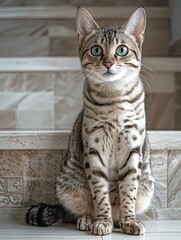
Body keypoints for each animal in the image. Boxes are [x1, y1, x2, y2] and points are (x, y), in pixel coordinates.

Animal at [26, 7, 155, 236]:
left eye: (122, 50)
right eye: (96, 50)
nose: (108, 63)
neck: (114, 98)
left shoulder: (132, 148)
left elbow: (128, 192)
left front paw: (129, 221)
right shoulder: (94, 148)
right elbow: (100, 193)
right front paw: (103, 221)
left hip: (147, 186)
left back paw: (118, 220)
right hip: (68, 184)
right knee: (77, 211)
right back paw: (88, 219)